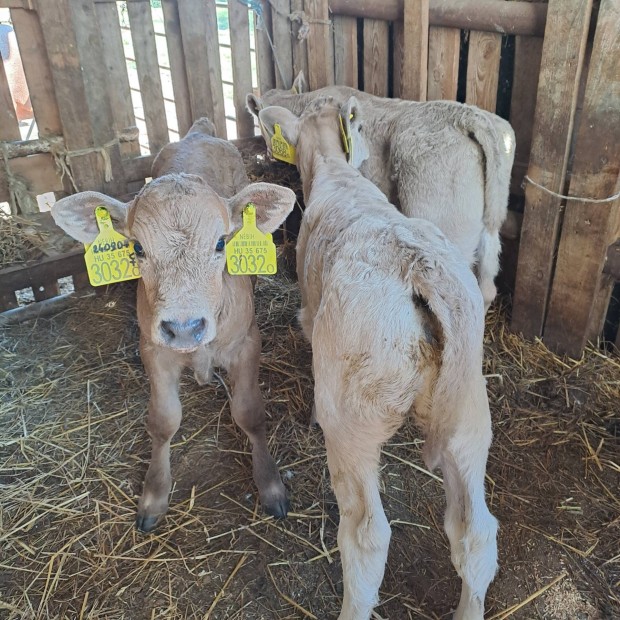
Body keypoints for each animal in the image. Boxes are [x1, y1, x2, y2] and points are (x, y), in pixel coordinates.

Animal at [51, 118, 296, 532]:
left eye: (221, 243)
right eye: (137, 248)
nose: (184, 328)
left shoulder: (247, 343)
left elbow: (249, 412)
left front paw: (270, 485)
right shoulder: (153, 349)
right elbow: (163, 421)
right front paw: (154, 494)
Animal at [260, 101, 496, 620]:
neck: (336, 171)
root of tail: (418, 266)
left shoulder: (309, 312)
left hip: (353, 420)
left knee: (366, 536)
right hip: (469, 410)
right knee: (476, 534)